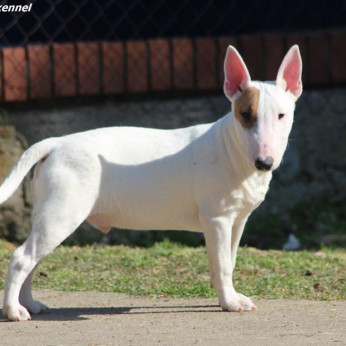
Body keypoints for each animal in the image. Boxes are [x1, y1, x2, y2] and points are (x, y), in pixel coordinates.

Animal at [1, 44, 302, 320]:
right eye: (246, 115)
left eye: (281, 116)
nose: (264, 162)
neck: (232, 149)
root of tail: (56, 143)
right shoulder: (217, 220)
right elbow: (223, 264)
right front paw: (229, 303)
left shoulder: (237, 220)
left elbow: (229, 259)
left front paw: (228, 296)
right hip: (62, 214)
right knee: (21, 258)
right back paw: (14, 311)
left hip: (51, 215)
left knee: (33, 260)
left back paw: (30, 304)